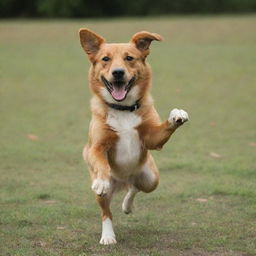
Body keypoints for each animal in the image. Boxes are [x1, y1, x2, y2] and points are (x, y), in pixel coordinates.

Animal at [79, 29, 189, 245]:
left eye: (129, 58)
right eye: (105, 59)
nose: (118, 72)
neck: (123, 109)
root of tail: (123, 180)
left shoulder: (151, 138)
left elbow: (162, 128)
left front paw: (176, 116)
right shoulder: (96, 146)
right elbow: (100, 161)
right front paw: (102, 180)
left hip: (151, 179)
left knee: (135, 187)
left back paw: (127, 205)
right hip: (102, 195)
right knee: (106, 213)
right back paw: (108, 236)